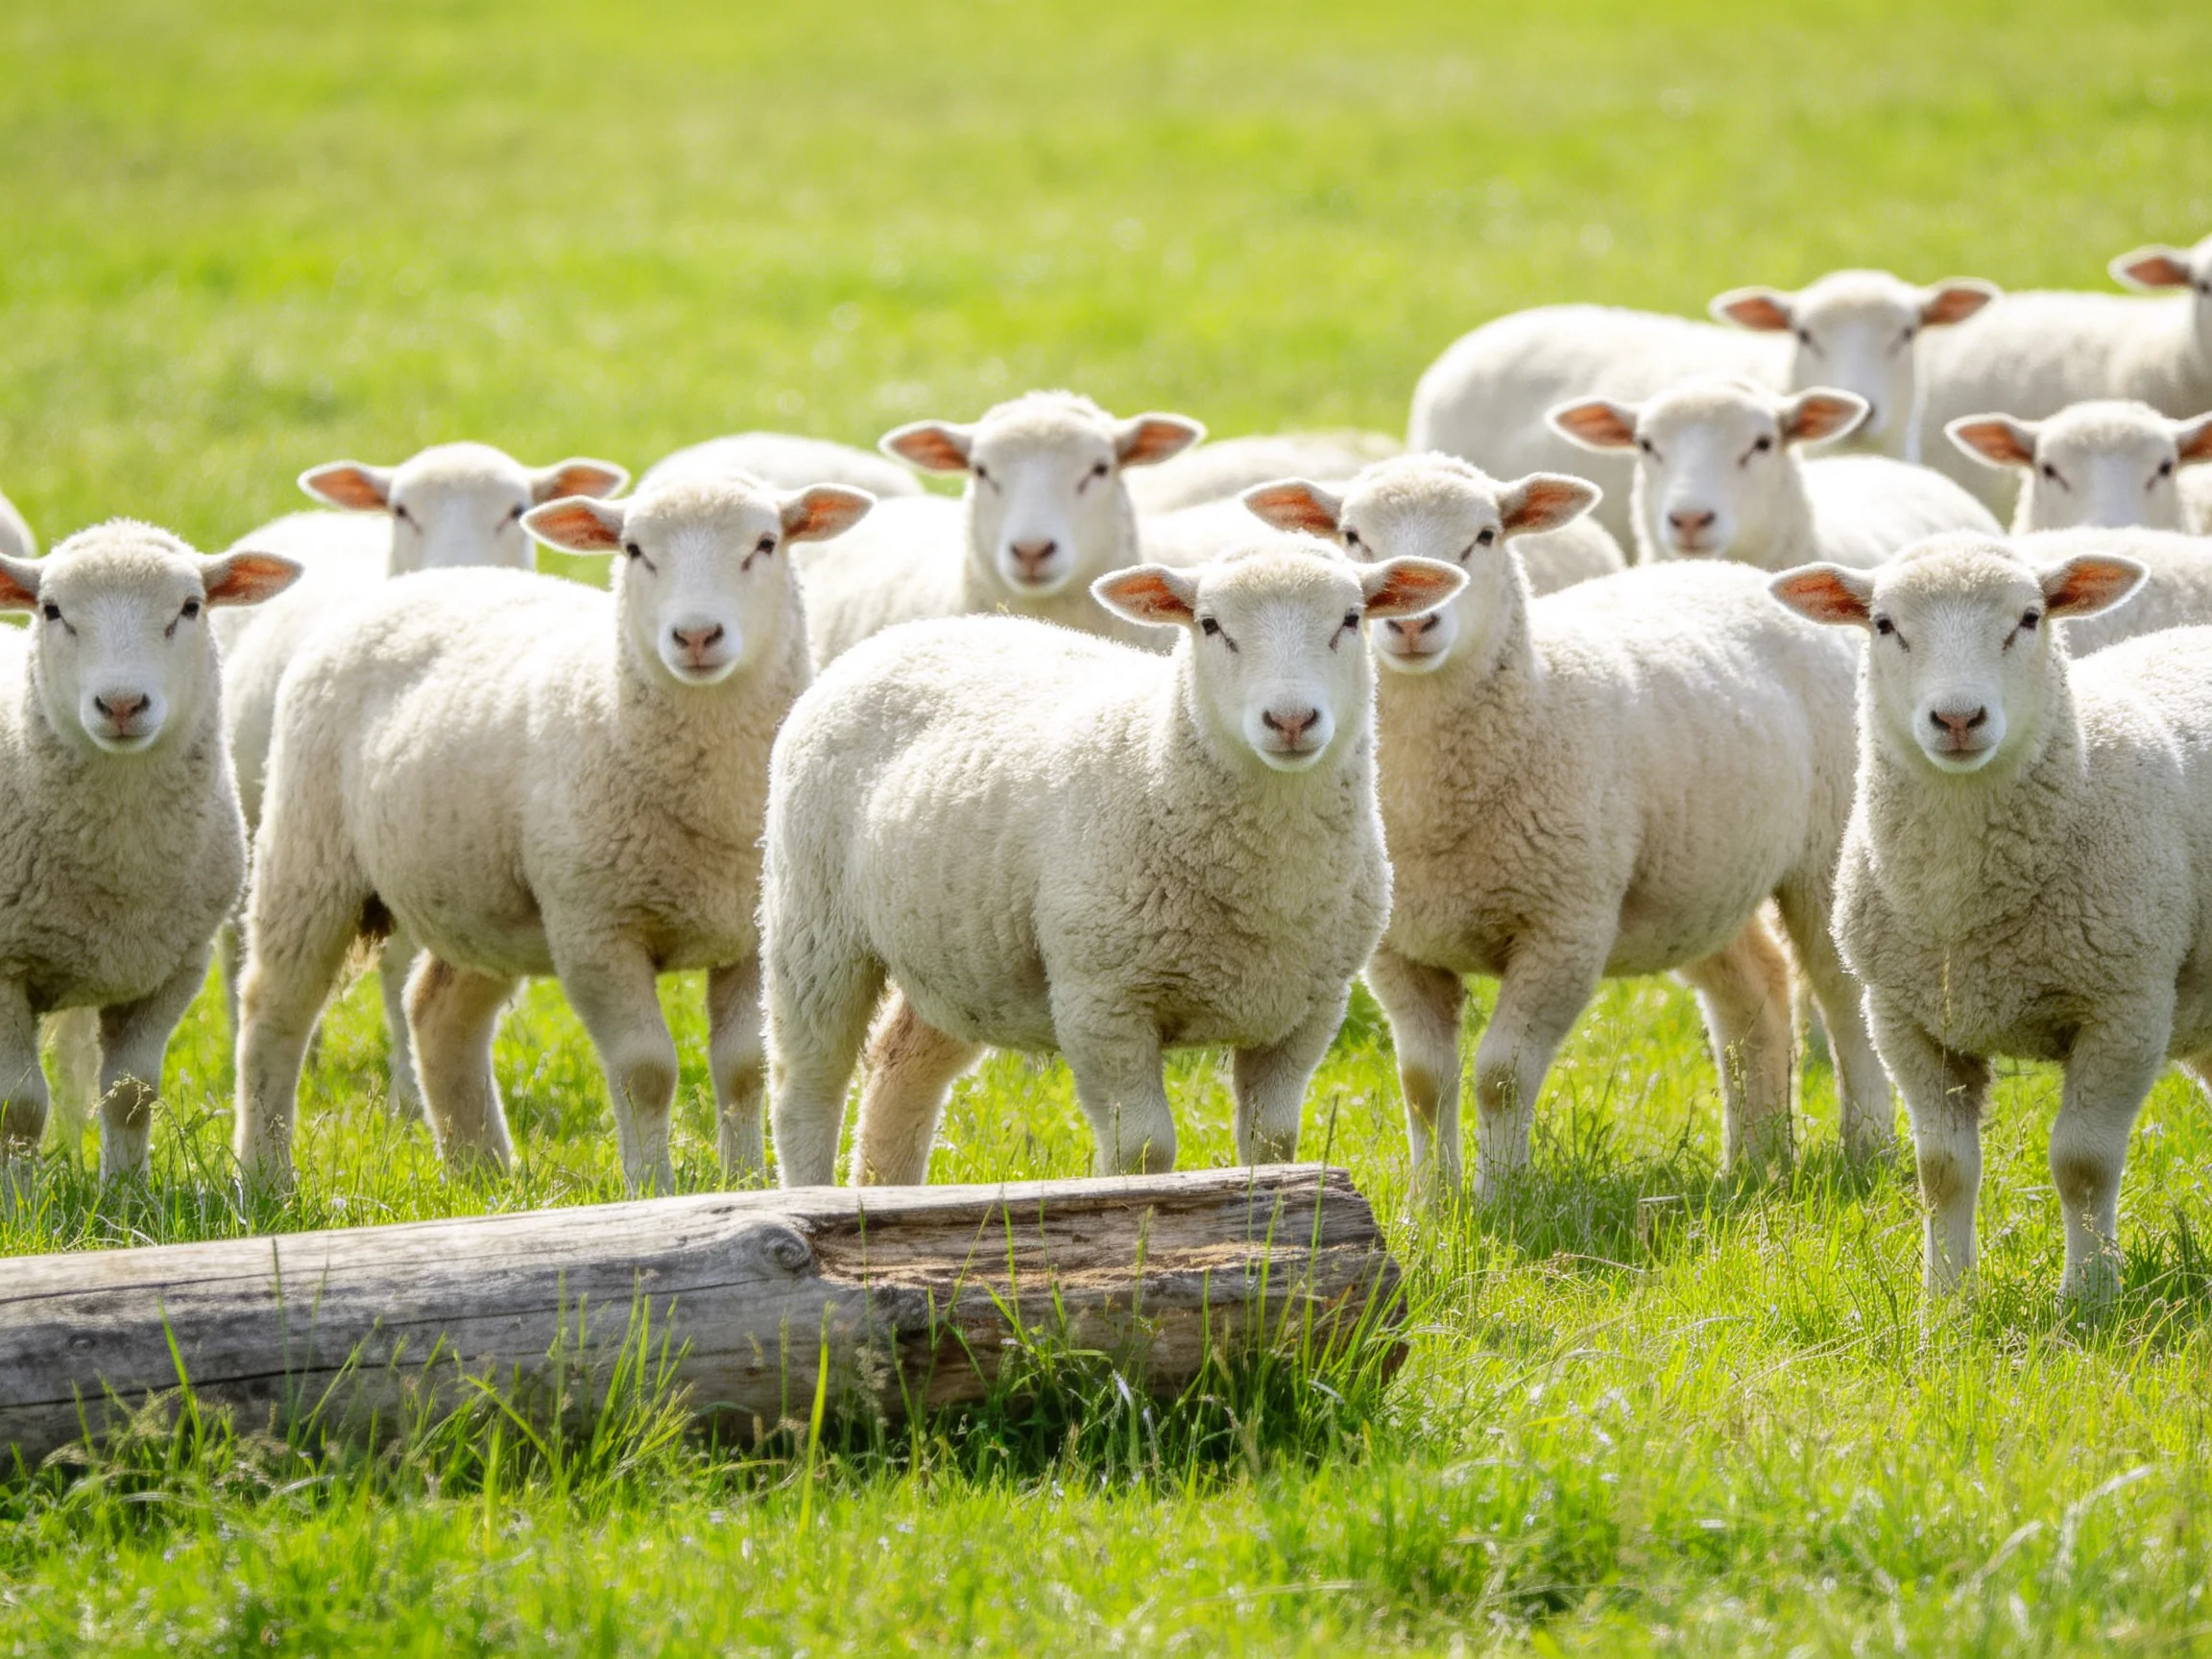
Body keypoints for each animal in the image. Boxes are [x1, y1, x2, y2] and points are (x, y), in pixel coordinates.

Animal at [1, 524, 299, 1179]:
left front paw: (124, 1190)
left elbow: (132, 1096)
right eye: (51, 610)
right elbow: (20, 1107)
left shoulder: (173, 968)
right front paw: (18, 1195)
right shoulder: (2, 966)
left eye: (190, 607)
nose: (121, 705)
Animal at [760, 536, 1466, 1188]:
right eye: (1210, 624)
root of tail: (902, 634)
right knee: (808, 1086)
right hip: (814, 925)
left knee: (901, 1067)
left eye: (1351, 618)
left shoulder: (1307, 1011)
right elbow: (1143, 1151)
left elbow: (1272, 1143)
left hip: (959, 954)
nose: (1290, 721)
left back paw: (886, 1196)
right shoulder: (1102, 1003)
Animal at [1244, 476, 1891, 1193]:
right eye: (1353, 536)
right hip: (1698, 883)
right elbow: (1422, 1081)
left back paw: (1869, 1148)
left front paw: (1498, 1197)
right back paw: (1754, 1163)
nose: (1412, 625)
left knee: (1843, 995)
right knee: (1758, 994)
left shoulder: (1565, 929)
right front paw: (1432, 1202)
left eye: (1486, 535)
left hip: (1825, 853)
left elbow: (1501, 1076)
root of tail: (1742, 573)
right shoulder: (1400, 947)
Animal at [1770, 532, 2212, 1303]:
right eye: (1884, 624)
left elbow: (2082, 1163)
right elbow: (1942, 1172)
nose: (1957, 719)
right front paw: (1945, 1303)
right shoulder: (1906, 1019)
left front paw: (2088, 1299)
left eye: (2030, 618)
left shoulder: (2126, 1007)